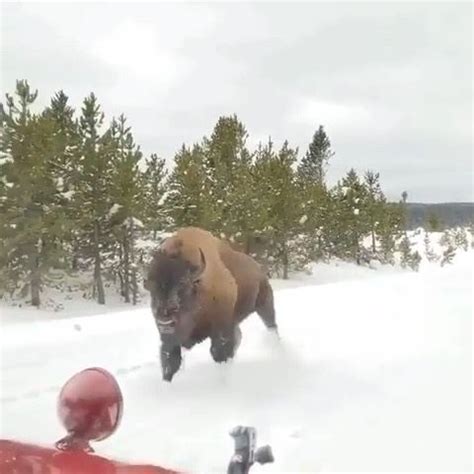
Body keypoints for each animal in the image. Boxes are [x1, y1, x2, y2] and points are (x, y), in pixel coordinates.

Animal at [144, 226, 278, 382]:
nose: (164, 315)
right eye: (151, 286)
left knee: (272, 327)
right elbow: (170, 361)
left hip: (265, 305)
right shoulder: (170, 340)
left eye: (183, 283)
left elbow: (219, 353)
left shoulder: (221, 330)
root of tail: (258, 268)